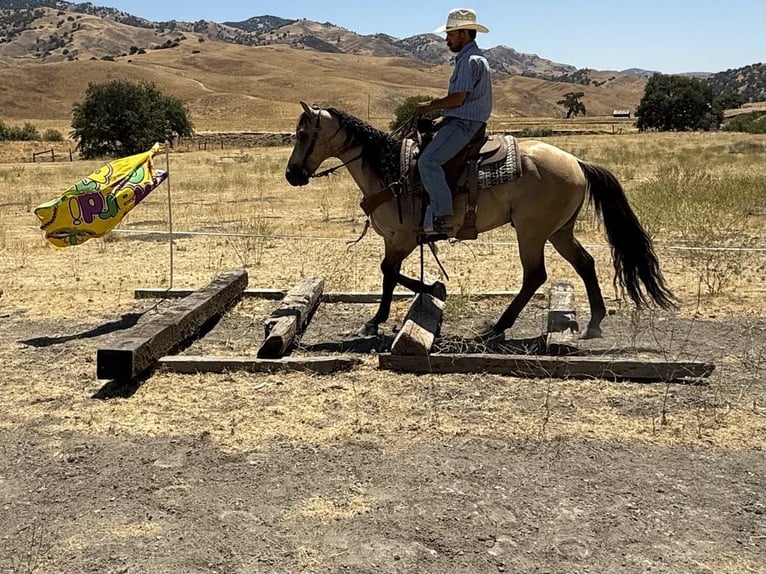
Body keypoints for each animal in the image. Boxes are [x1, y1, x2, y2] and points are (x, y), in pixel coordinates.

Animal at [285, 102, 676, 339]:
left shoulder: (405, 236)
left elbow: (388, 272)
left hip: (532, 232)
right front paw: (405, 302)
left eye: (303, 134)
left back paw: (499, 326)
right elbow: (389, 276)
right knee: (585, 263)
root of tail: (577, 162)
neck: (390, 170)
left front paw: (396, 308)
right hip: (559, 231)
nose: (292, 174)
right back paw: (594, 322)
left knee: (535, 276)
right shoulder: (392, 237)